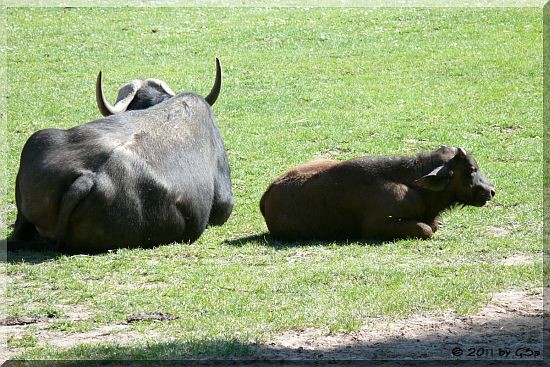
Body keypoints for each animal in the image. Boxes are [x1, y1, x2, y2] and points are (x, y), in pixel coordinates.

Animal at [260, 147, 498, 242]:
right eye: (471, 169)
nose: (491, 191)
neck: (413, 182)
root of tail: (266, 196)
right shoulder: (377, 225)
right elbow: (427, 229)